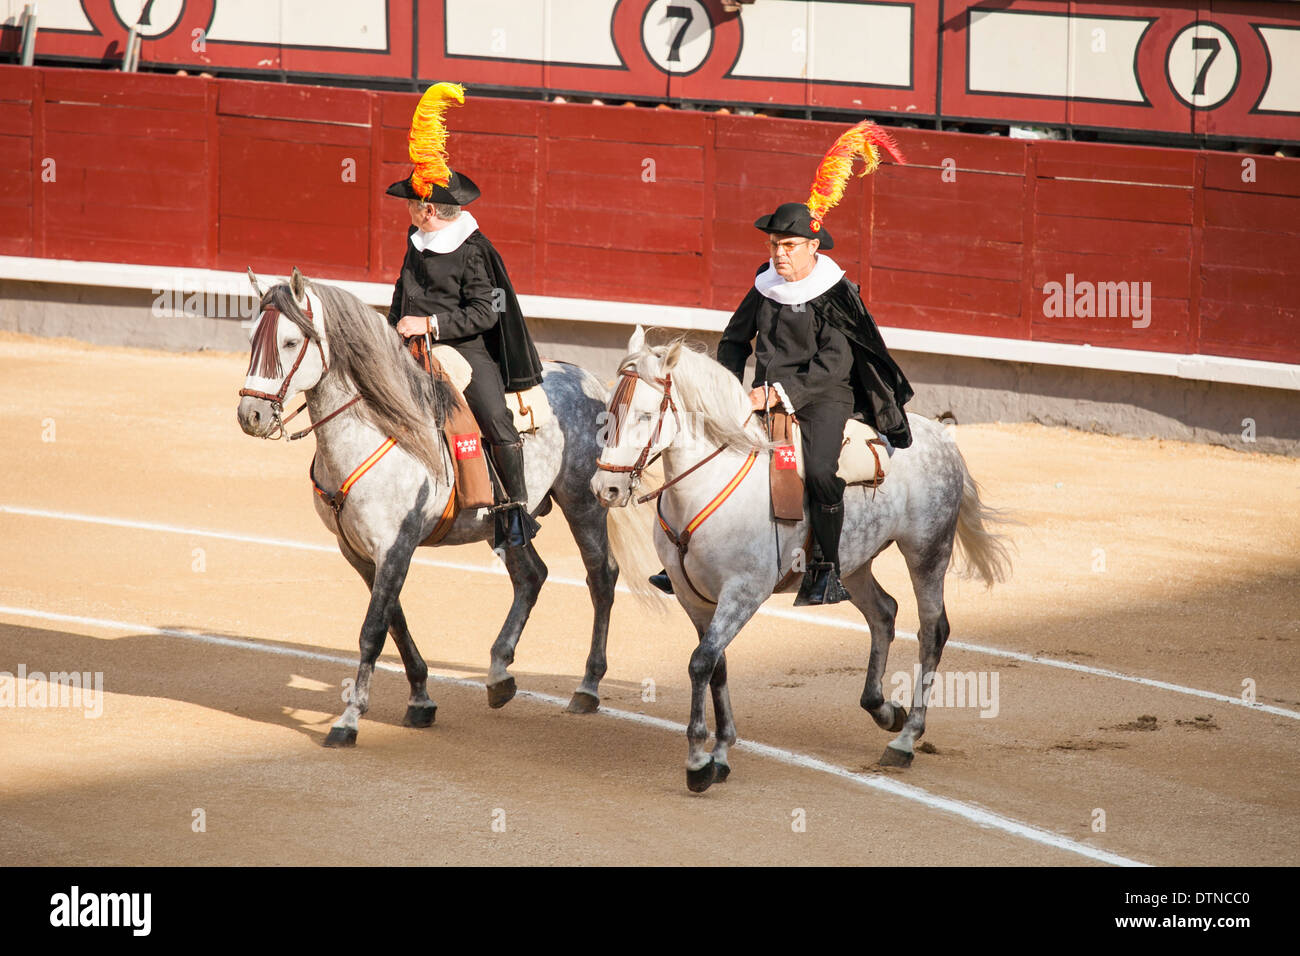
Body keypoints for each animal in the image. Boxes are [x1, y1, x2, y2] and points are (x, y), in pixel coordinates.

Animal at [239, 269, 624, 749]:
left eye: (291, 342)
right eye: (253, 338)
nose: (250, 414)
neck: (374, 427)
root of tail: (584, 377)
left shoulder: (396, 546)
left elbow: (372, 631)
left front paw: (348, 719)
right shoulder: (359, 552)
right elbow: (395, 622)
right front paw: (421, 699)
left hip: (584, 502)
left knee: (600, 577)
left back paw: (587, 687)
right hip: (505, 524)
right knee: (532, 576)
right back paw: (499, 675)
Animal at [595, 329, 1008, 790]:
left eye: (646, 415)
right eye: (608, 412)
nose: (605, 488)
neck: (705, 485)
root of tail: (938, 434)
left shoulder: (743, 592)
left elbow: (701, 662)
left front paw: (698, 763)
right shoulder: (693, 598)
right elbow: (716, 664)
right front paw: (720, 753)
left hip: (927, 551)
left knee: (932, 629)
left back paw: (905, 739)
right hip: (853, 563)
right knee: (883, 612)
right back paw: (884, 710)